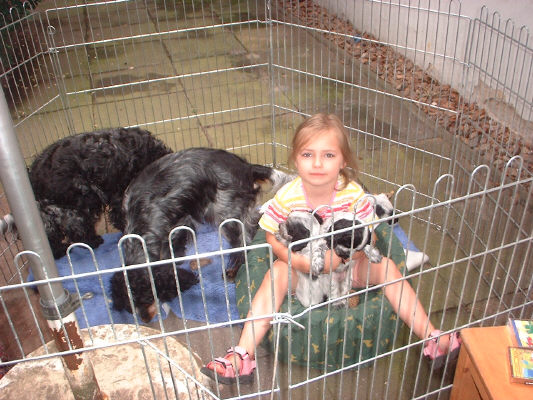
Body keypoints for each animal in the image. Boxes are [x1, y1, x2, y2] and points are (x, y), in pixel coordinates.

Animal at [110, 147, 294, 322]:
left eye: (148, 298)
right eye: (130, 307)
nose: (145, 320)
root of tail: (246, 168)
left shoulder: (180, 221)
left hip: (225, 213)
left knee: (244, 242)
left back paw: (233, 272)